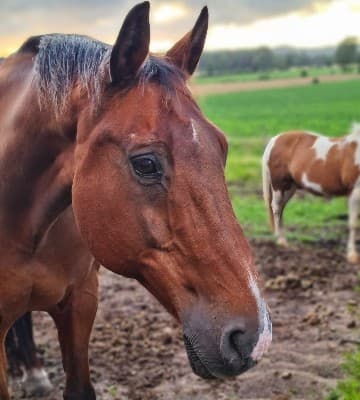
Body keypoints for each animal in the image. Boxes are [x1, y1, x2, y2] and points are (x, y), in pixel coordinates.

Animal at [262, 123, 360, 264]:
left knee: (281, 208)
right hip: (279, 185)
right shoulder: (355, 192)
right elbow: (353, 224)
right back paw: (280, 240)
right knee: (276, 208)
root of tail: (275, 139)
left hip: (290, 187)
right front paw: (352, 255)